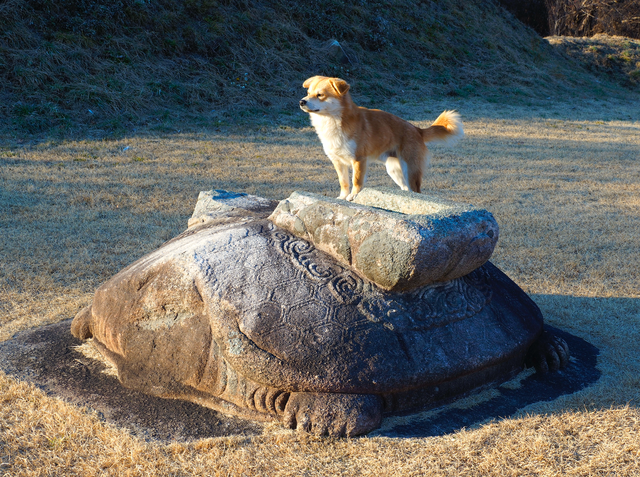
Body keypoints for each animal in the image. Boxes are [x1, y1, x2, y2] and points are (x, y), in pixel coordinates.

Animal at [298, 76, 462, 201]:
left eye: (320, 95)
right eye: (308, 92)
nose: (302, 101)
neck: (333, 121)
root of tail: (417, 130)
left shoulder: (359, 159)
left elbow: (356, 181)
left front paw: (353, 196)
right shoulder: (338, 161)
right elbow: (343, 182)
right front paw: (342, 197)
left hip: (410, 170)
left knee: (416, 191)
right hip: (395, 170)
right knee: (406, 189)